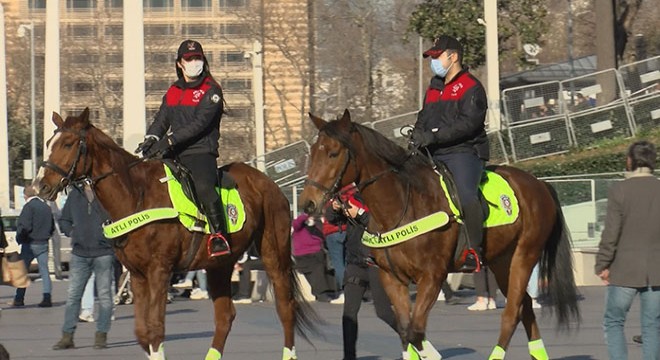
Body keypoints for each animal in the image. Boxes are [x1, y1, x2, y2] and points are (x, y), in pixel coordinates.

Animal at [34, 109, 318, 360]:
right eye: (48, 143)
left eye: (68, 143)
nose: (40, 185)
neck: (136, 195)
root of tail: (270, 183)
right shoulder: (137, 274)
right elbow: (143, 332)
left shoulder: (160, 270)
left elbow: (156, 329)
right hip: (219, 264)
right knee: (225, 316)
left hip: (274, 255)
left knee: (286, 308)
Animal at [300, 110, 576, 360]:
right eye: (312, 153)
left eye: (333, 153)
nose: (308, 204)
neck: (403, 204)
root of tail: (539, 184)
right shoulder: (392, 278)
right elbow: (405, 332)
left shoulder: (432, 276)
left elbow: (415, 333)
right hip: (501, 263)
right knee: (525, 307)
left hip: (523, 257)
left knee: (511, 314)